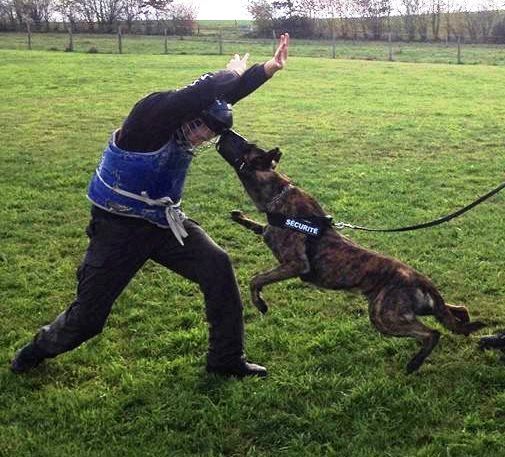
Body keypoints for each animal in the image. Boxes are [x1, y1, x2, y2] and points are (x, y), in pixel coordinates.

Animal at [216, 130, 484, 372]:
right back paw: (463, 330)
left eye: (245, 145)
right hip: (423, 309)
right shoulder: (270, 233)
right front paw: (239, 216)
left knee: (432, 333)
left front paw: (260, 304)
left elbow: (256, 279)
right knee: (459, 312)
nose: (225, 131)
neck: (276, 193)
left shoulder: (294, 264)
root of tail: (422, 280)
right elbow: (257, 228)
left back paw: (414, 363)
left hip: (384, 316)